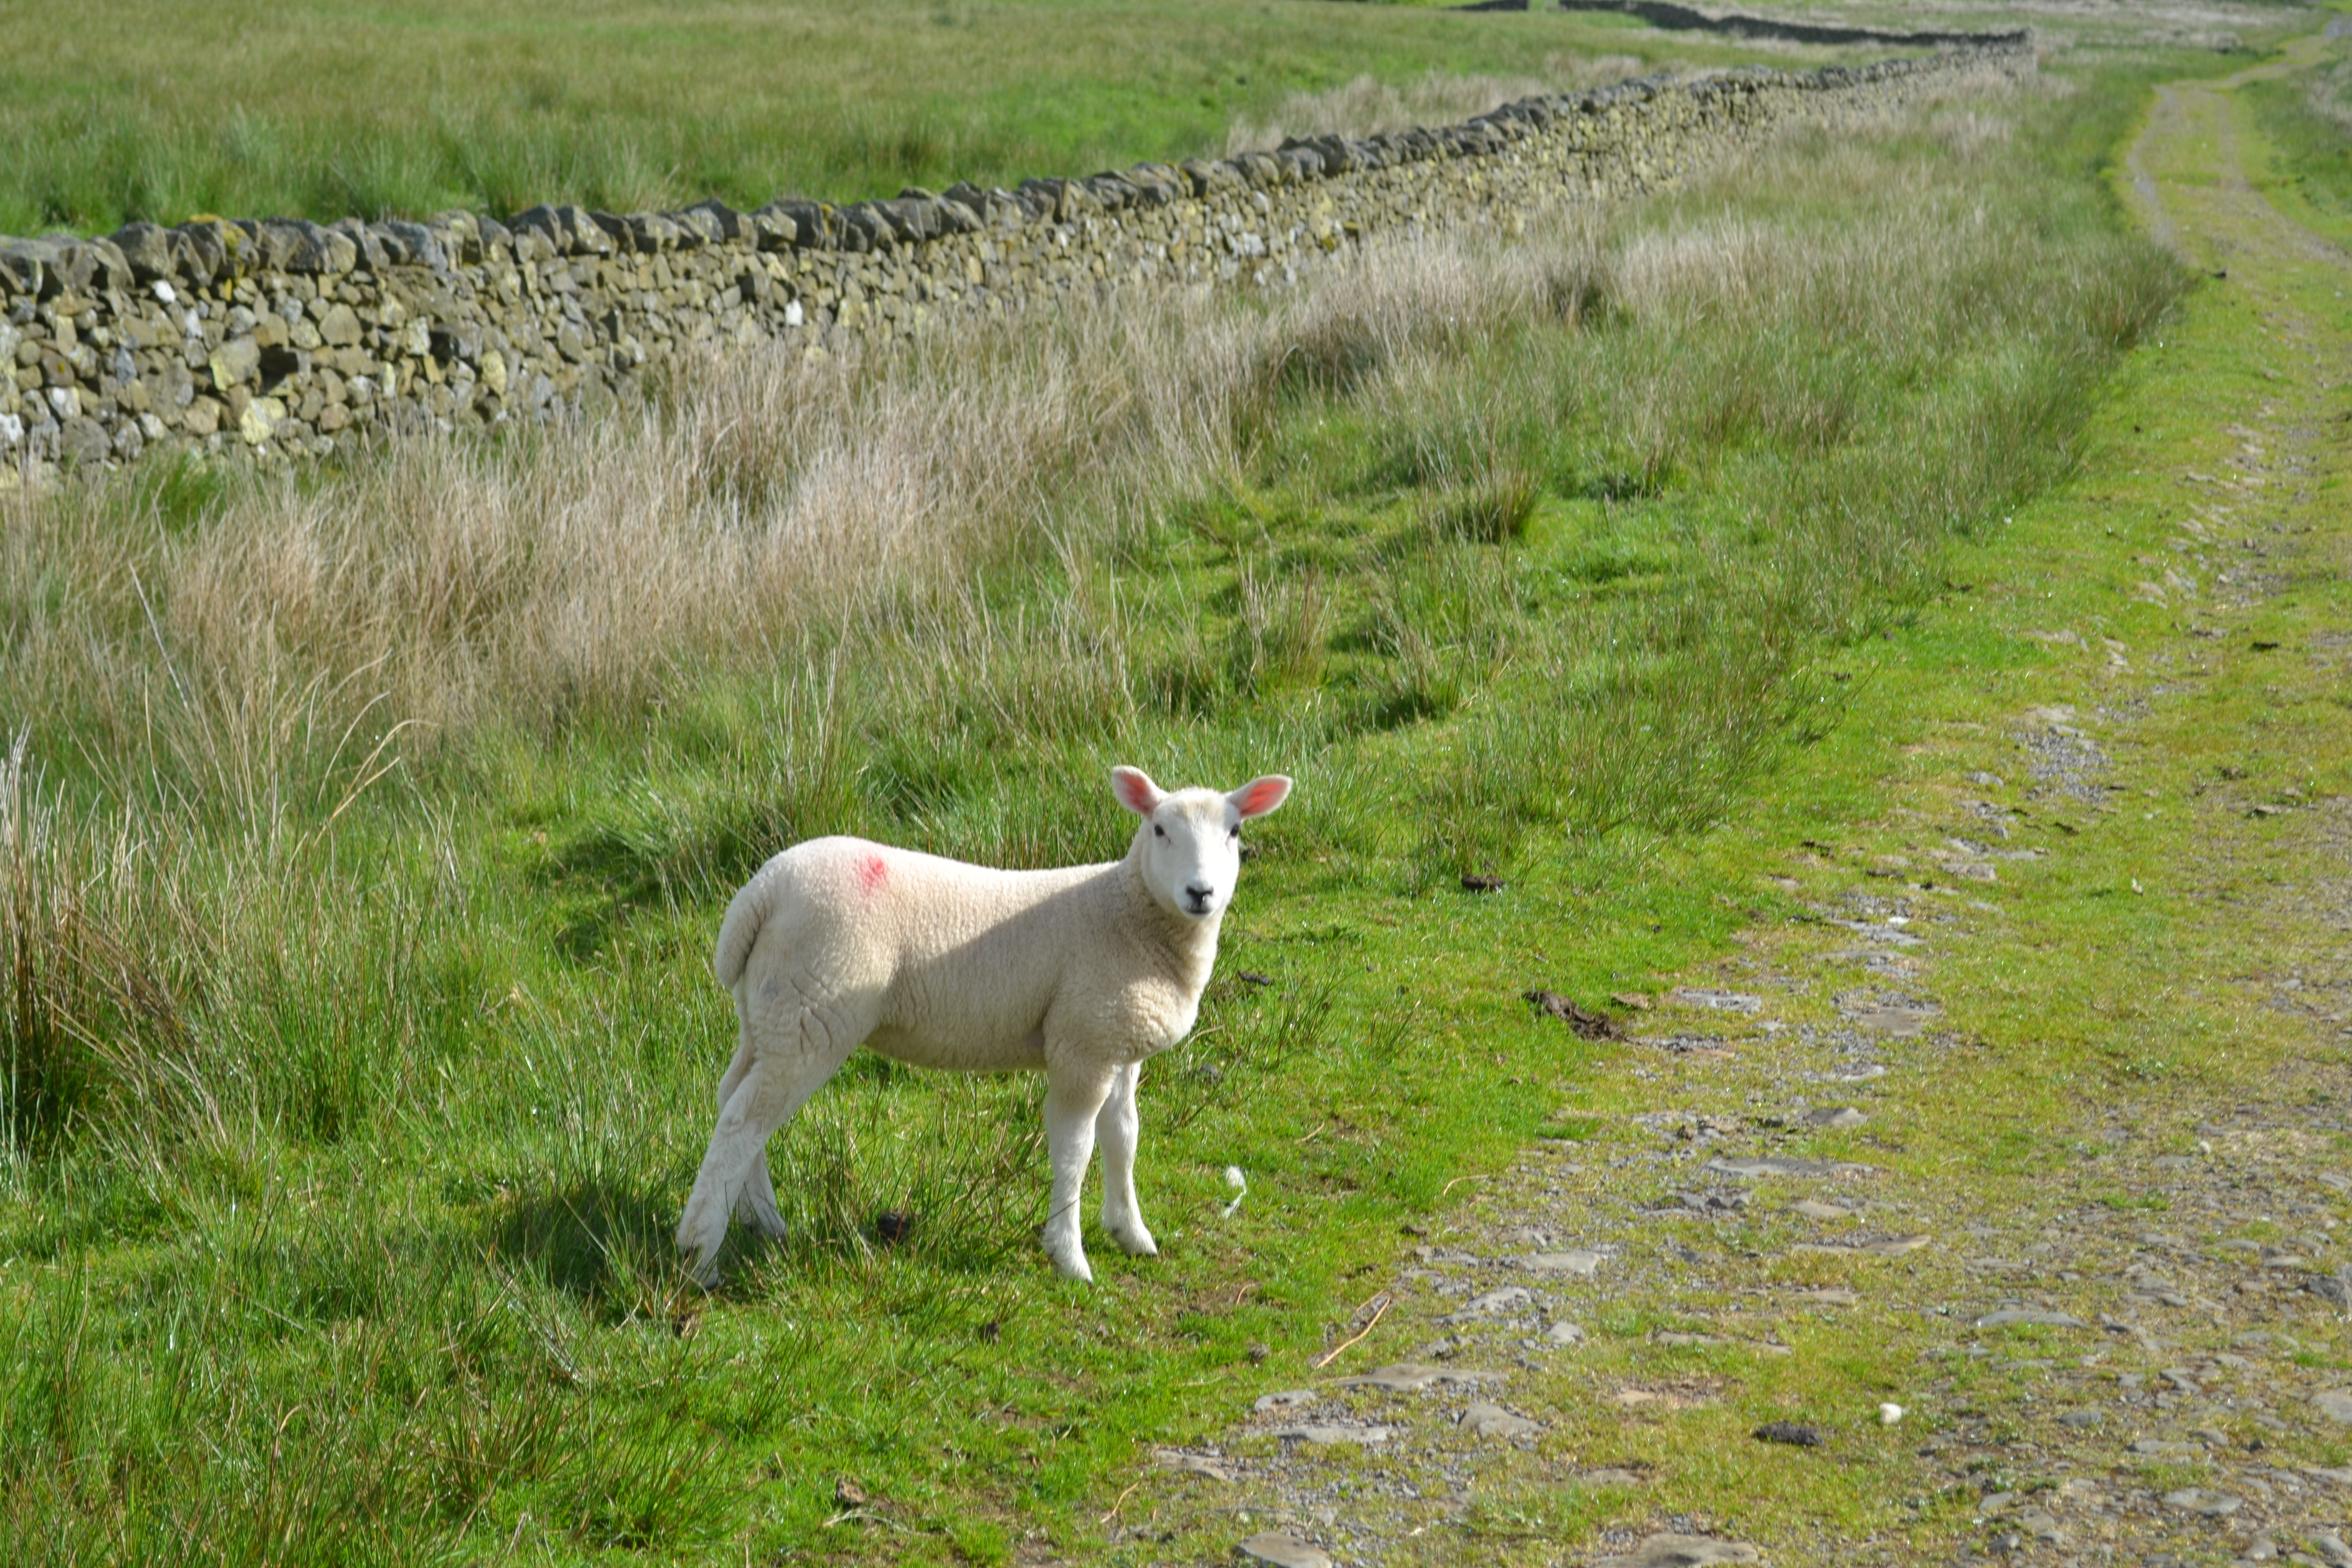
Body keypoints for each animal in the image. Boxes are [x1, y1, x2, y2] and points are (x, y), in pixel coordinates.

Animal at [676, 766, 1294, 1285]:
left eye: (1235, 831)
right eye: (1160, 829)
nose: (1200, 892)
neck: (1127, 914)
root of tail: (759, 894)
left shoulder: (1116, 1041)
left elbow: (1124, 1137)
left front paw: (1131, 1233)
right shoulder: (1081, 1046)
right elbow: (1075, 1148)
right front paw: (1069, 1256)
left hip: (769, 1013)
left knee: (734, 1100)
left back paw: (764, 1222)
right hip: (814, 1010)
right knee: (743, 1122)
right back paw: (700, 1255)